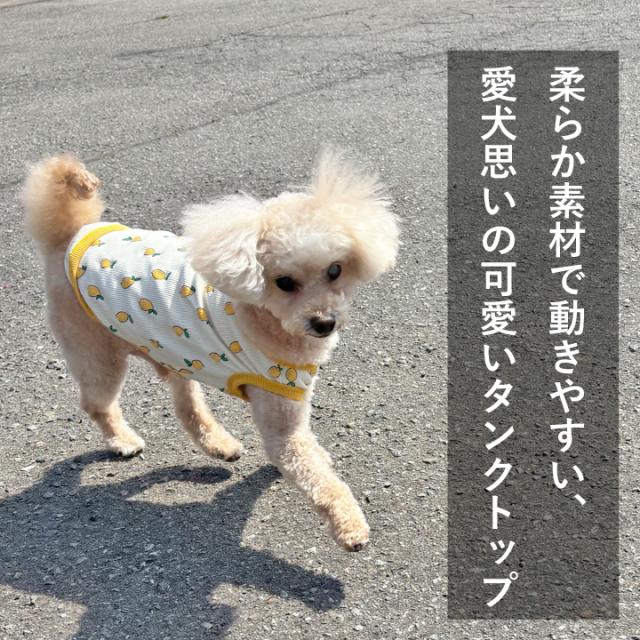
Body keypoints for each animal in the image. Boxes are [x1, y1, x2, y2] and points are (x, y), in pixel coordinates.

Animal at [23, 149, 399, 551]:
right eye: (284, 282)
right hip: (96, 352)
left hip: (172, 350)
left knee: (186, 407)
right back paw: (122, 440)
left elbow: (311, 454)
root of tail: (70, 235)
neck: (268, 319)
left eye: (335, 270)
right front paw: (349, 525)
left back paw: (218, 445)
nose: (324, 322)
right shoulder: (281, 422)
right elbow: (313, 473)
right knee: (97, 403)